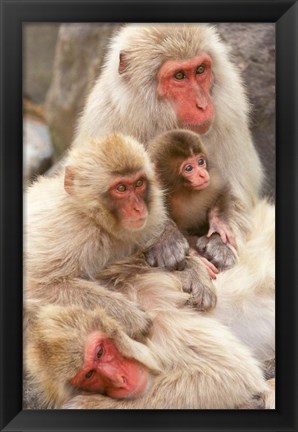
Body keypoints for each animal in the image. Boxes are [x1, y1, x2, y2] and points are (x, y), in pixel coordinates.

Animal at [149, 128, 237, 272]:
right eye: (188, 168)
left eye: (201, 162)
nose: (202, 174)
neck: (184, 191)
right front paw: (195, 255)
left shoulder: (211, 181)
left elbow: (222, 190)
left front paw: (218, 225)